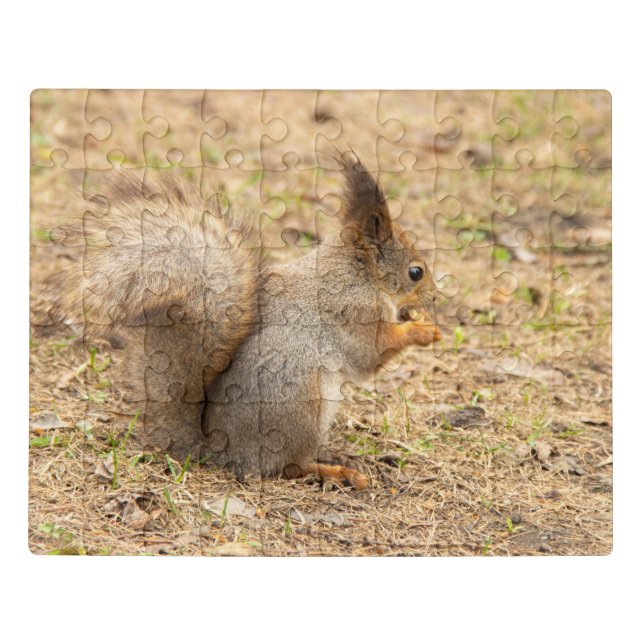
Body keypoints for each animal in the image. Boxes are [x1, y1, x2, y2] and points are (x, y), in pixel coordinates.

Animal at [47, 152, 440, 489]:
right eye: (416, 272)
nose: (435, 298)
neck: (357, 273)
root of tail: (221, 450)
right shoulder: (353, 311)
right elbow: (371, 354)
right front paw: (423, 330)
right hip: (300, 406)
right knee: (291, 467)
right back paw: (336, 471)